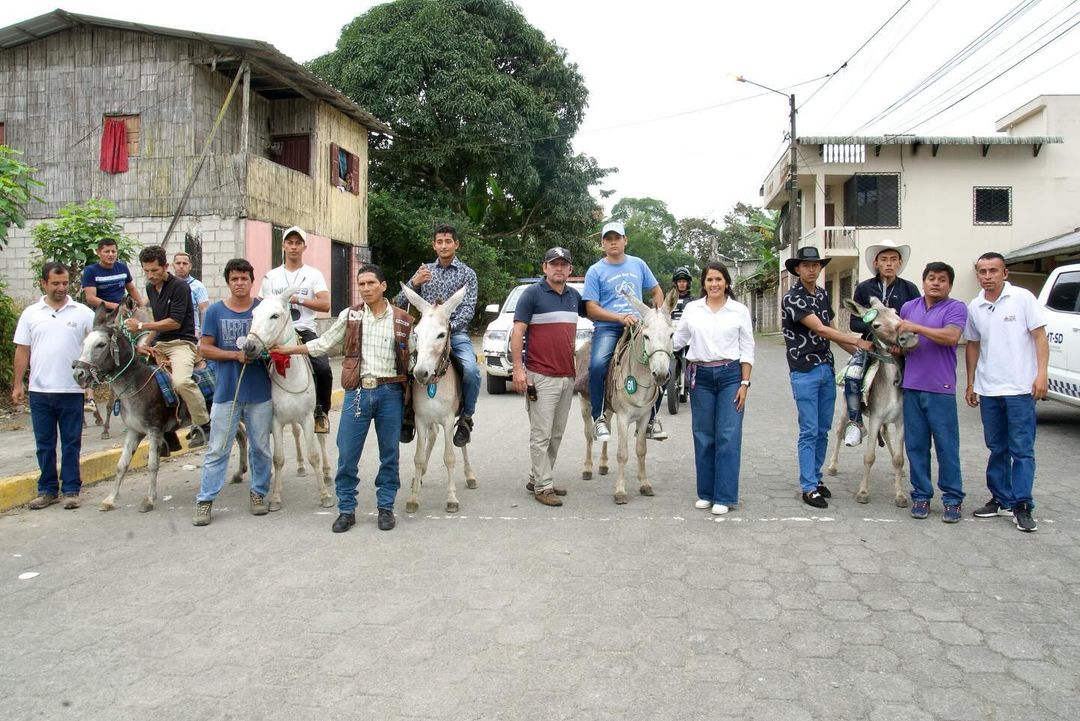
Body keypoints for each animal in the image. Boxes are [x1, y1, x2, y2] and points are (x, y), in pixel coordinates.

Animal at [71, 300, 247, 512]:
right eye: (84, 343)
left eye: (100, 344)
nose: (79, 374)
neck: (137, 383)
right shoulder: (134, 431)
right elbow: (122, 464)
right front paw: (110, 499)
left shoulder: (154, 429)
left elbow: (152, 465)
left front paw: (148, 499)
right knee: (241, 435)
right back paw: (239, 473)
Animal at [239, 289, 333, 511]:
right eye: (254, 314)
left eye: (275, 316)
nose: (249, 346)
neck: (290, 373)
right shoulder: (276, 420)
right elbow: (278, 458)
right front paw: (275, 498)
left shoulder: (307, 418)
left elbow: (314, 455)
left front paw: (324, 496)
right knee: (296, 434)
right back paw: (299, 466)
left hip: (318, 415)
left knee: (322, 440)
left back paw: (326, 474)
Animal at [400, 284, 477, 514]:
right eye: (416, 333)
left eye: (441, 334)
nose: (420, 373)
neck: (435, 381)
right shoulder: (420, 419)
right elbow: (417, 457)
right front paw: (413, 498)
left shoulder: (449, 420)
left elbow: (449, 457)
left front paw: (451, 498)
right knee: (432, 437)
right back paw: (420, 476)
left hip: (458, 418)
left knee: (462, 441)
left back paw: (470, 475)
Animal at [575, 292, 676, 504]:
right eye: (646, 336)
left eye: (671, 334)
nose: (661, 375)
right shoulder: (623, 417)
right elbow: (622, 453)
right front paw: (620, 491)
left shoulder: (644, 416)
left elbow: (641, 449)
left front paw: (644, 484)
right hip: (585, 403)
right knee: (589, 435)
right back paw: (587, 468)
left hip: (607, 408)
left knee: (606, 428)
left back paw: (603, 465)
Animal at [825, 297, 919, 506]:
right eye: (876, 325)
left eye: (896, 313)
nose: (908, 336)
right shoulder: (875, 417)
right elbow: (869, 457)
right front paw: (863, 493)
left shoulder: (901, 420)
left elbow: (899, 458)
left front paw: (900, 495)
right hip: (846, 408)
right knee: (839, 431)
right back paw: (833, 466)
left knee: (885, 435)